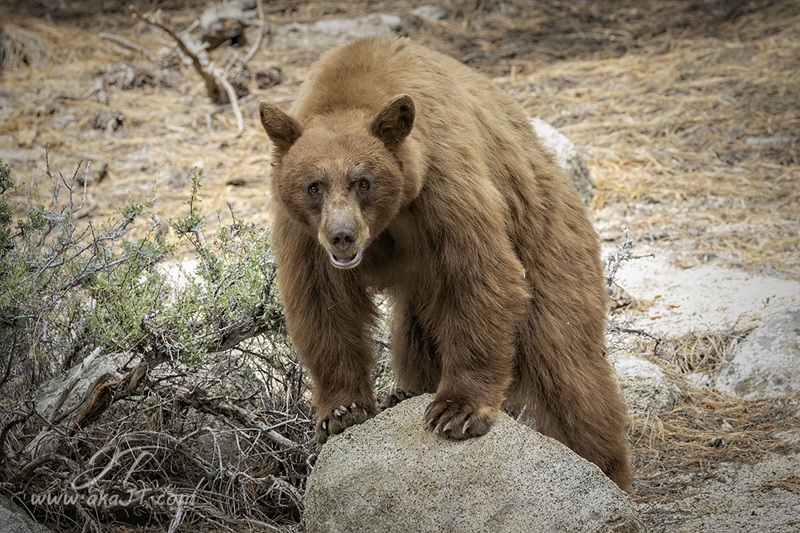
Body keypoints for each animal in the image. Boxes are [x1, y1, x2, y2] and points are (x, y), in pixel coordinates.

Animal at [258, 36, 632, 491]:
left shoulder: (445, 182)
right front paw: (342, 411)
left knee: (567, 362)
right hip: (421, 291)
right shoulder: (304, 233)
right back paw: (403, 391)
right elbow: (321, 302)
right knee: (418, 332)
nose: (342, 235)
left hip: (548, 237)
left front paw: (456, 411)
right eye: (314, 185)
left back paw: (609, 469)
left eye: (363, 181)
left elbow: (480, 276)